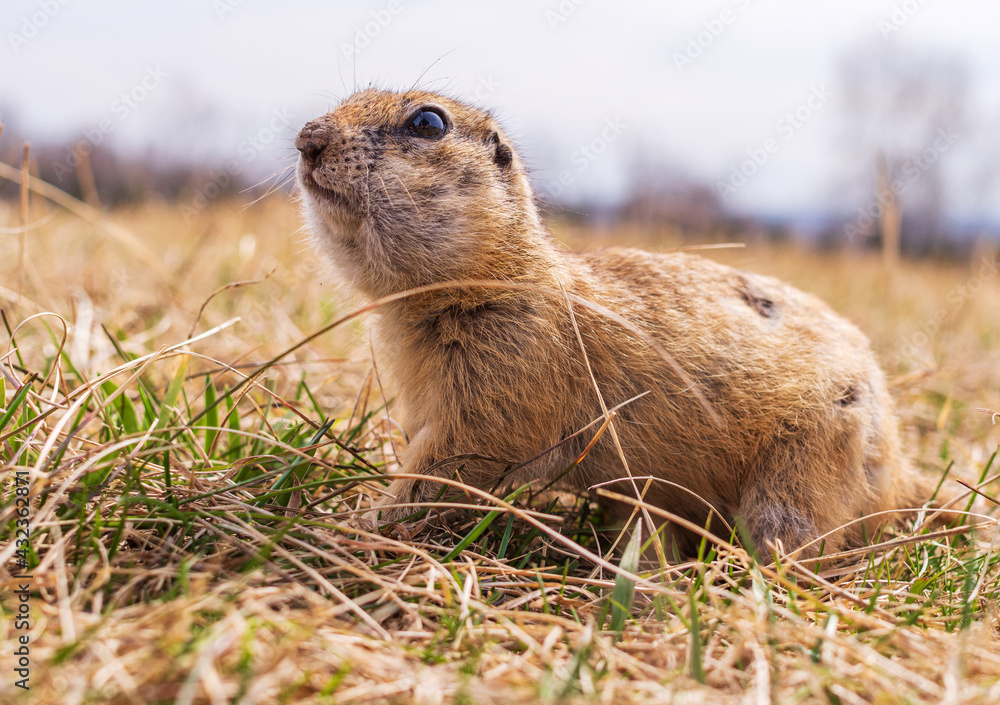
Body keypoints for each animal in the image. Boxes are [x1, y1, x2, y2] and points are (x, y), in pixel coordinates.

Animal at [294, 89, 944, 556]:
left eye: (428, 123)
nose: (306, 137)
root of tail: (900, 466)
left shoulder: (507, 375)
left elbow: (450, 465)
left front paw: (356, 524)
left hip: (803, 472)